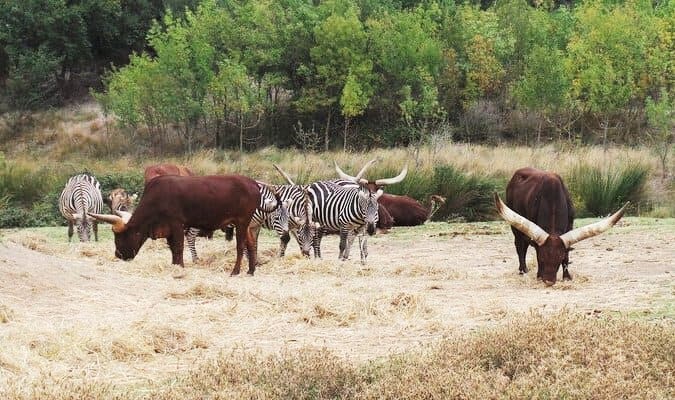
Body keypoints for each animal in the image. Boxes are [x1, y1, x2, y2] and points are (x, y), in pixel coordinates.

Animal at [89, 174, 266, 276]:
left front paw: (179, 266)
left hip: (241, 222)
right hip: (247, 224)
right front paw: (174, 265)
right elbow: (172, 248)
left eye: (120, 235)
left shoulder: (177, 224)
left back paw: (235, 271)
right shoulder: (168, 229)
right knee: (251, 244)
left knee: (241, 245)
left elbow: (178, 247)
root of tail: (253, 184)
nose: (118, 255)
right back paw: (251, 270)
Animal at [494, 167, 632, 286]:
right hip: (515, 227)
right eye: (542, 257)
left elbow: (567, 255)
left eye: (559, 258)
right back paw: (523, 270)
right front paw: (539, 275)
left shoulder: (569, 226)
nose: (549, 281)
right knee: (519, 246)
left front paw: (567, 276)